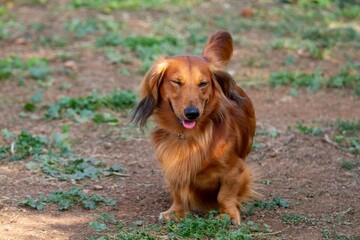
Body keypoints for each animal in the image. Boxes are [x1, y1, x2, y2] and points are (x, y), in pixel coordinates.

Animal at [132, 30, 256, 225]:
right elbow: (178, 193)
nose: (192, 113)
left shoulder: (234, 170)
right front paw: (176, 212)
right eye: (176, 82)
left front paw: (228, 215)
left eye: (203, 83)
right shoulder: (173, 166)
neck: (189, 135)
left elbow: (225, 195)